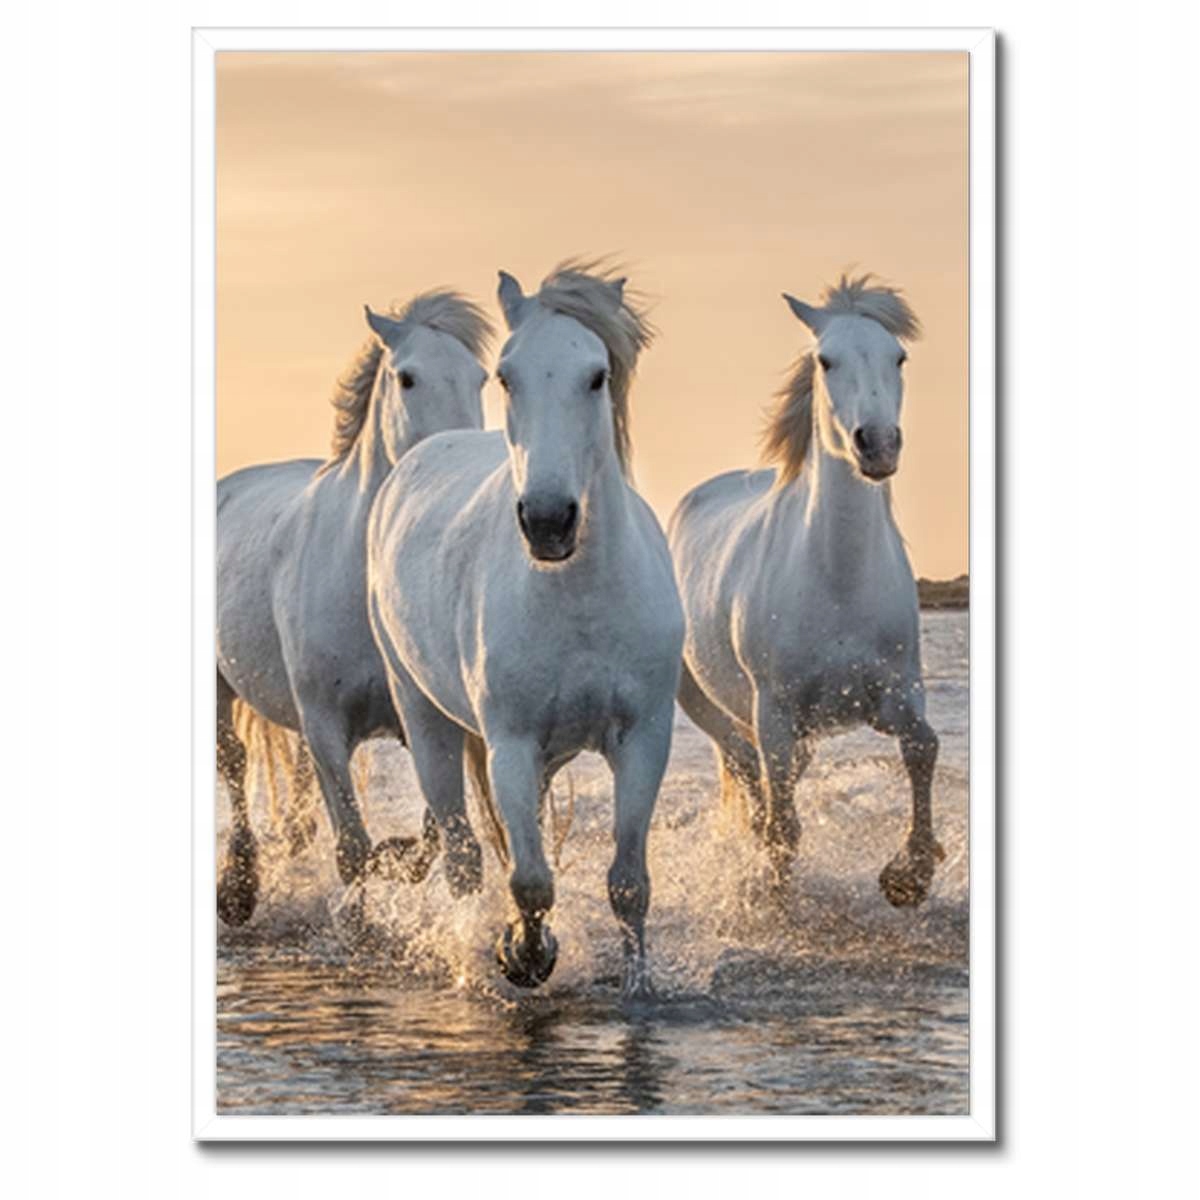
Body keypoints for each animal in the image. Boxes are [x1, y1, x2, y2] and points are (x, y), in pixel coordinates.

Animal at [215, 291, 493, 926]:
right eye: (407, 377)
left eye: (480, 377)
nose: (457, 459)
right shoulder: (325, 725)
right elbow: (351, 847)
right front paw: (359, 923)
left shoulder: (420, 717)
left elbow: (431, 834)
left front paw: (397, 857)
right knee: (234, 766)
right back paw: (237, 890)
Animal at [367, 261, 684, 997]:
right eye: (506, 376)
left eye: (596, 375)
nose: (547, 520)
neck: (580, 599)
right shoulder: (509, 744)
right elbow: (530, 879)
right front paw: (524, 955)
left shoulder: (644, 739)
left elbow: (629, 884)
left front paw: (639, 988)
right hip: (425, 717)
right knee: (462, 853)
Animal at [668, 274, 943, 906]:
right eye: (825, 360)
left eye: (899, 356)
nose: (877, 445)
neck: (838, 580)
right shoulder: (774, 711)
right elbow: (782, 823)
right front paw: (775, 895)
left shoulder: (896, 693)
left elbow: (924, 747)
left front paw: (909, 874)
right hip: (708, 703)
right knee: (749, 773)